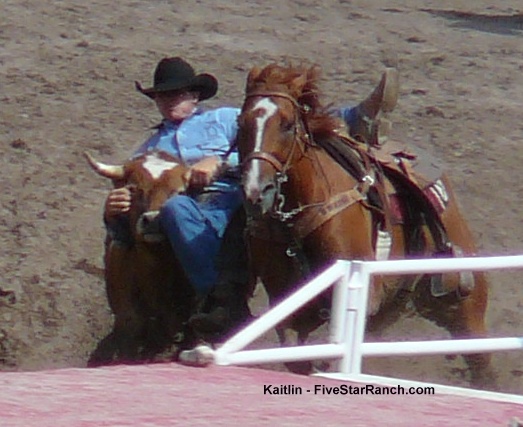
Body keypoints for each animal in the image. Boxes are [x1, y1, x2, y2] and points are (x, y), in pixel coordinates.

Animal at [236, 63, 496, 388]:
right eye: (240, 123)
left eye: (286, 124)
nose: (255, 191)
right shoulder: (290, 311)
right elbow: (300, 359)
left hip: (464, 308)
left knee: (482, 365)